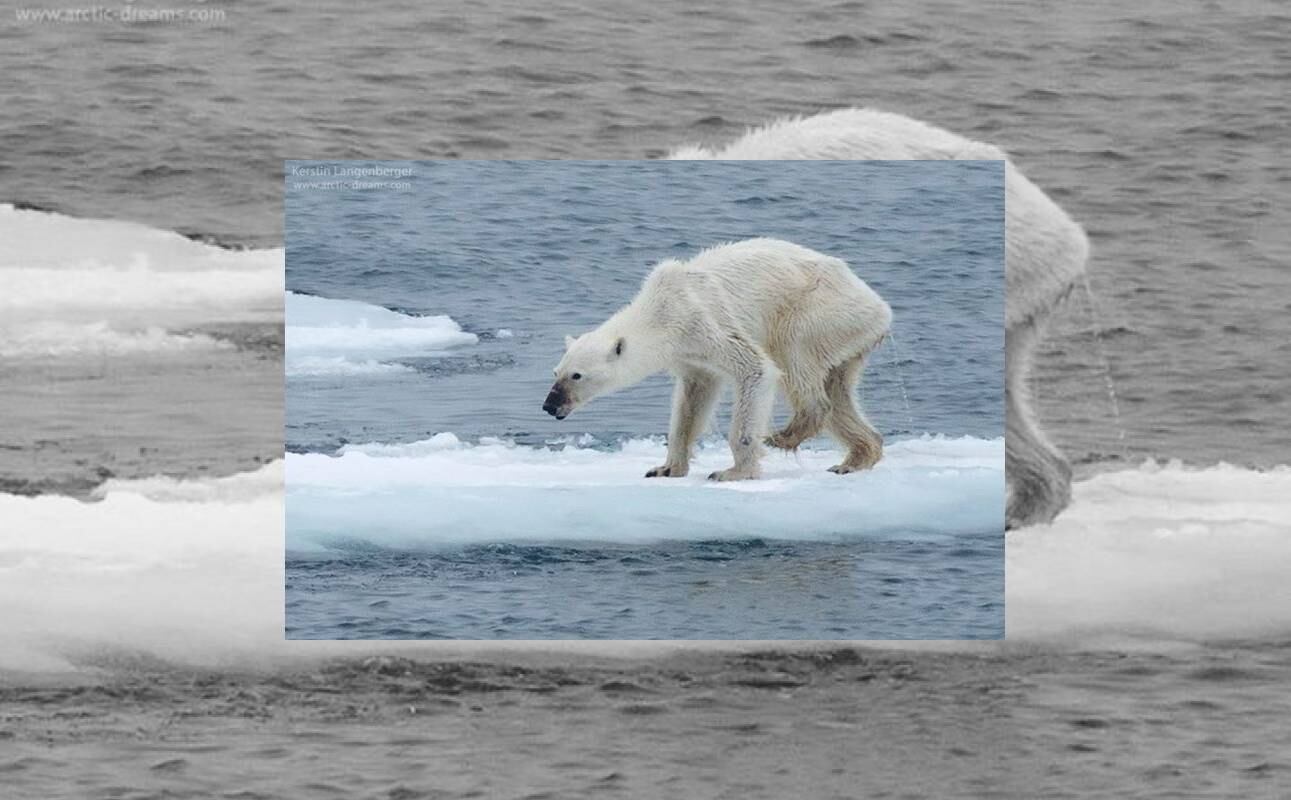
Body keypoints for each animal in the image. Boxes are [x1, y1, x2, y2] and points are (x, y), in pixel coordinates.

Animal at [543, 238, 892, 482]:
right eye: (556, 371)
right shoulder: (689, 355)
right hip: (847, 337)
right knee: (839, 390)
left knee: (794, 355)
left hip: (819, 311)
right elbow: (692, 401)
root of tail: (880, 307)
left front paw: (733, 472)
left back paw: (784, 435)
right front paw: (665, 468)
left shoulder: (703, 322)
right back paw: (855, 458)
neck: (661, 311)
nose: (549, 405)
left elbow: (756, 369)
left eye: (577, 375)